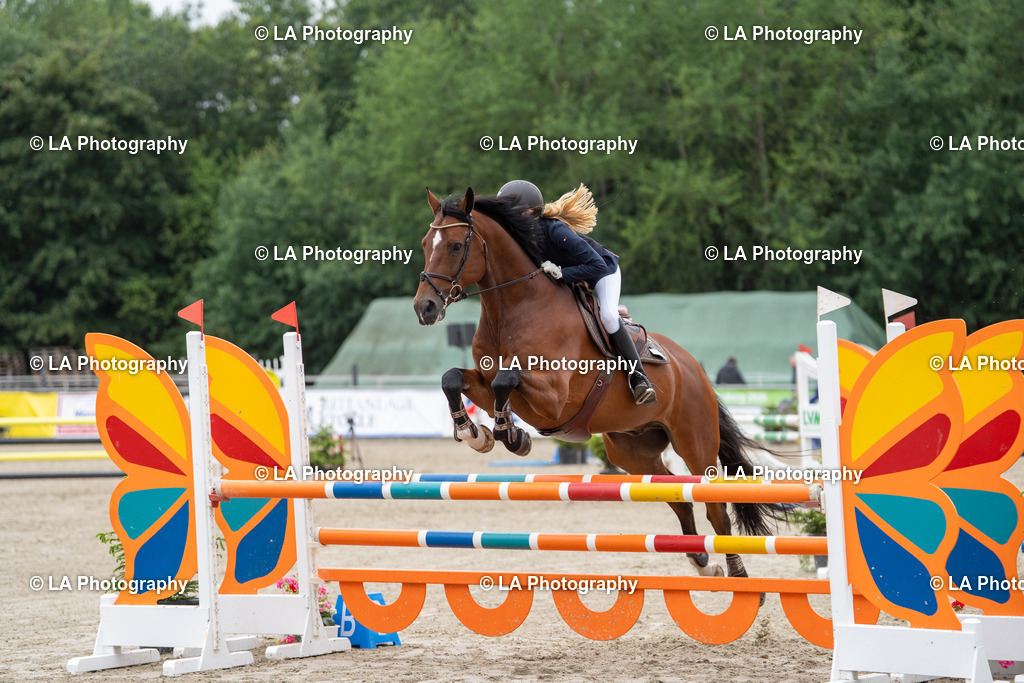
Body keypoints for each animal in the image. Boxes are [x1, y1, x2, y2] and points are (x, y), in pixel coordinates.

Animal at [413, 187, 777, 580]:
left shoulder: (553, 397)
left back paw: (738, 575)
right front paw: (475, 433)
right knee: (676, 498)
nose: (424, 308)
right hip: (631, 451)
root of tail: (693, 367)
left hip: (696, 444)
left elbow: (505, 381)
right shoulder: (486, 379)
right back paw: (702, 562)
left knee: (716, 508)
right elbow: (455, 378)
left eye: (454, 245)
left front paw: (510, 435)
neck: (514, 307)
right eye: (425, 244)